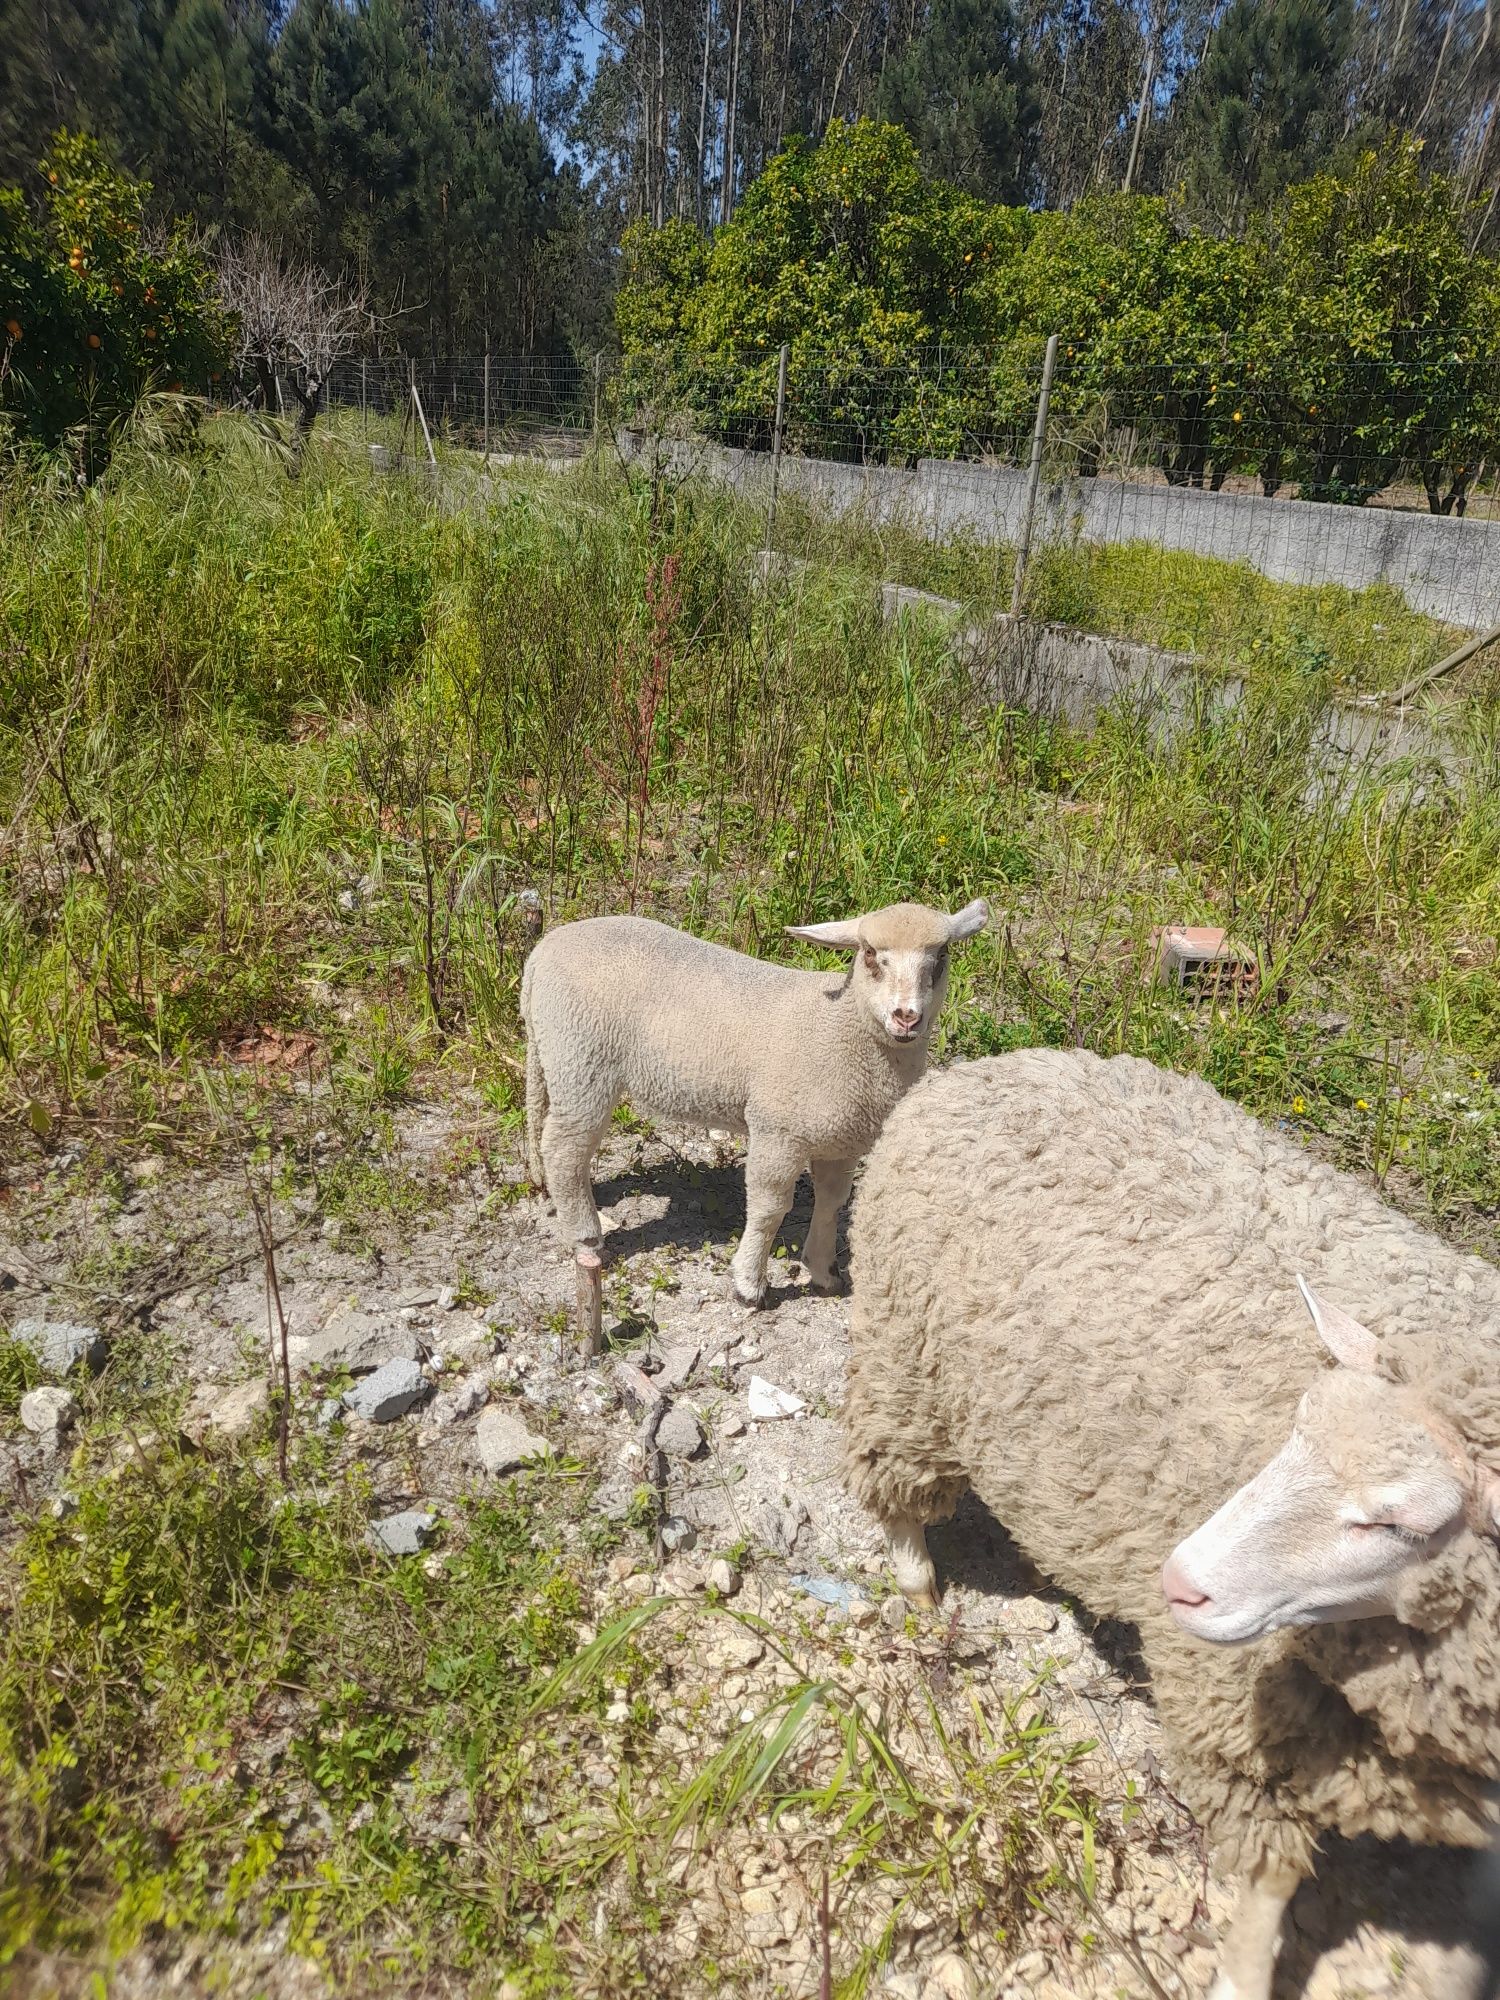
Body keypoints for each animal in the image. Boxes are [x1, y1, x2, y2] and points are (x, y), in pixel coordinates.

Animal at [524, 896, 992, 1304]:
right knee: (564, 1148)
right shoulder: (777, 1128)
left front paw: (823, 1271)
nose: (906, 1017)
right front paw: (749, 1283)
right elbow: (769, 1208)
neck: (842, 1027)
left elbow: (832, 1202)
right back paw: (586, 1236)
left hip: (557, 1056)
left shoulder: (842, 1138)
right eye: (872, 955)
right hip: (582, 1060)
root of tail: (541, 952)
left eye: (941, 957)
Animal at [848, 1048, 1500, 2000]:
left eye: (1396, 1523)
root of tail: (993, 1064)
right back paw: (918, 1588)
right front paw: (1240, 1978)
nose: (1176, 1582)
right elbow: (1268, 1883)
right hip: (906, 1362)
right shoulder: (1243, 1721)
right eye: (1297, 1423)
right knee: (896, 1484)